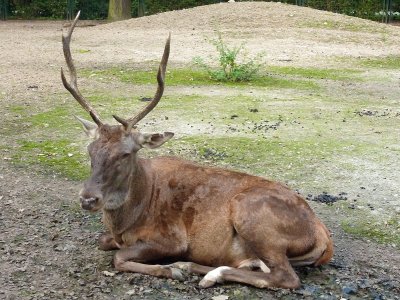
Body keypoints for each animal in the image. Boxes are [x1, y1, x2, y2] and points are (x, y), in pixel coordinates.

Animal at [61, 12, 332, 290]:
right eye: (90, 150)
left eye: (126, 154)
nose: (88, 199)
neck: (128, 220)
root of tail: (324, 236)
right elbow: (104, 242)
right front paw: (173, 267)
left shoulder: (172, 238)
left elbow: (119, 257)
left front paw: (168, 270)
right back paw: (190, 266)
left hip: (252, 214)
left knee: (285, 277)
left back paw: (204, 273)